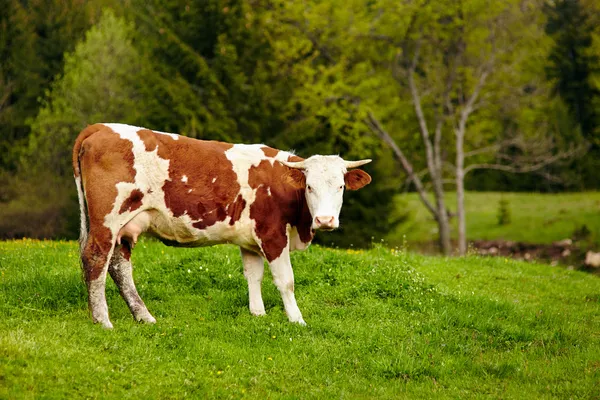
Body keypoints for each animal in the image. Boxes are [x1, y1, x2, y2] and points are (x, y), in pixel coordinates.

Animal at [70, 122, 370, 328]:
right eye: (309, 186)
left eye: (341, 186)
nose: (325, 220)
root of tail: (100, 127)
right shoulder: (272, 235)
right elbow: (286, 281)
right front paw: (297, 321)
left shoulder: (250, 240)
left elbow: (253, 275)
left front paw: (258, 314)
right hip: (107, 220)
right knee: (96, 258)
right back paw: (103, 320)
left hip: (125, 227)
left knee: (119, 266)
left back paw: (144, 316)